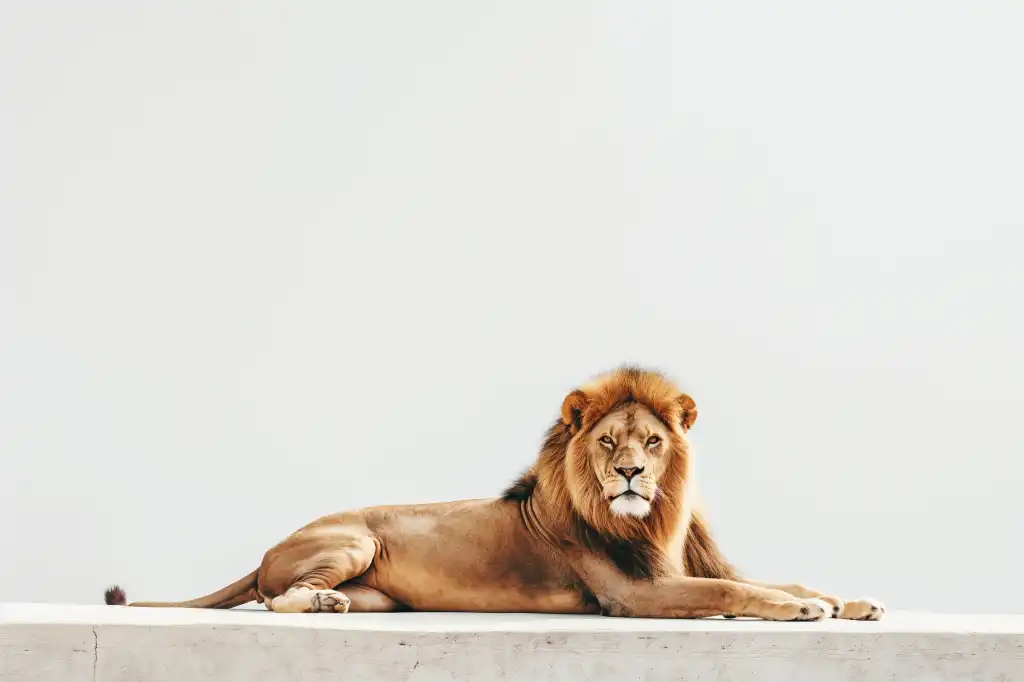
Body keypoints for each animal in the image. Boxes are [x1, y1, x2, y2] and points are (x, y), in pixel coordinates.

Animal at [105, 366, 888, 622]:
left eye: (653, 444)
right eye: (610, 444)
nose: (631, 476)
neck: (652, 519)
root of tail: (270, 546)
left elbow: (781, 576)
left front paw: (850, 600)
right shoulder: (634, 594)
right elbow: (734, 590)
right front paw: (803, 611)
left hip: (380, 592)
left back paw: (333, 604)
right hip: (353, 537)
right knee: (273, 600)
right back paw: (317, 603)